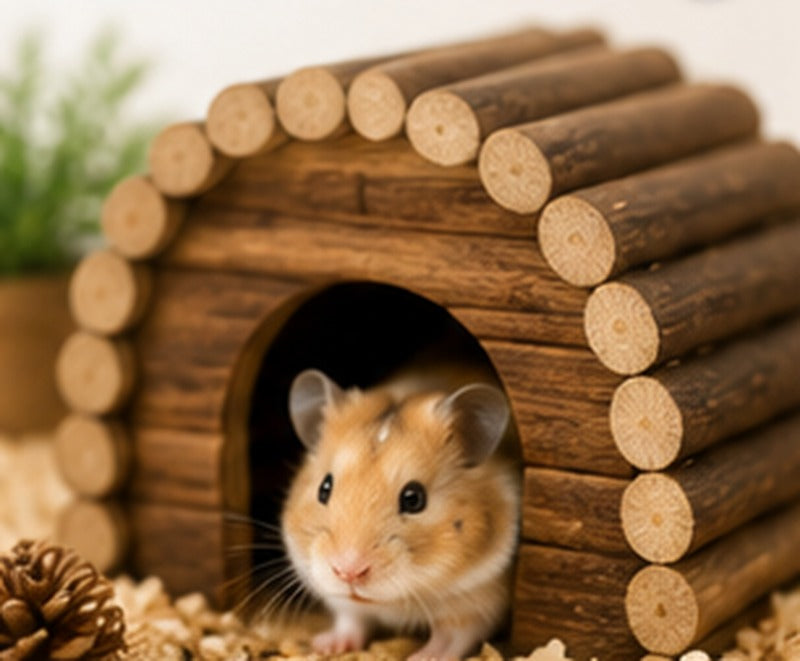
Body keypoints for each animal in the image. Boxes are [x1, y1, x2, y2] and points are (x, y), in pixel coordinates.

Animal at [281, 366, 520, 660]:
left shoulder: (479, 601)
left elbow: (452, 636)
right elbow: (351, 620)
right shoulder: (345, 602)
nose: (348, 572)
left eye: (414, 499)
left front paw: (423, 656)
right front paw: (324, 645)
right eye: (324, 488)